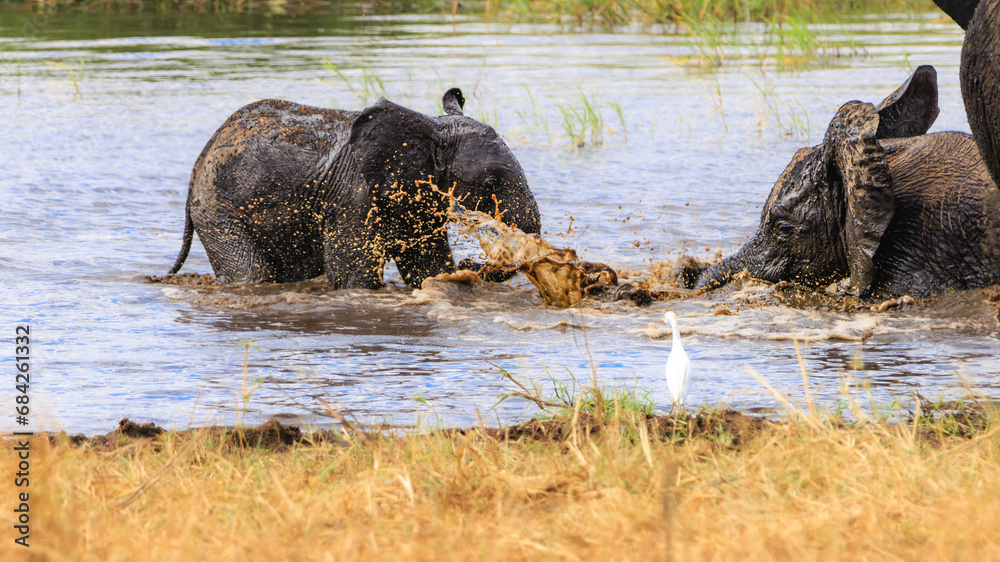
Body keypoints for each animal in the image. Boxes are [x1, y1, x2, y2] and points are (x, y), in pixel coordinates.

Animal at [168, 88, 542, 289]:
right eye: (490, 183)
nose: (473, 260)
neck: (428, 129)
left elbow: (428, 269)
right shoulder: (353, 196)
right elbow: (354, 280)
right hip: (217, 212)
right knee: (251, 272)